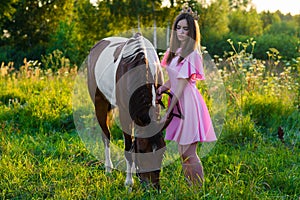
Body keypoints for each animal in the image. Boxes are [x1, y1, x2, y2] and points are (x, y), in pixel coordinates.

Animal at [88, 32, 170, 189]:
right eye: (143, 151)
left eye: (163, 152)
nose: (154, 188)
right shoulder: (125, 114)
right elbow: (128, 147)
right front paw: (129, 183)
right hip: (100, 102)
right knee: (106, 135)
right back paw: (108, 169)